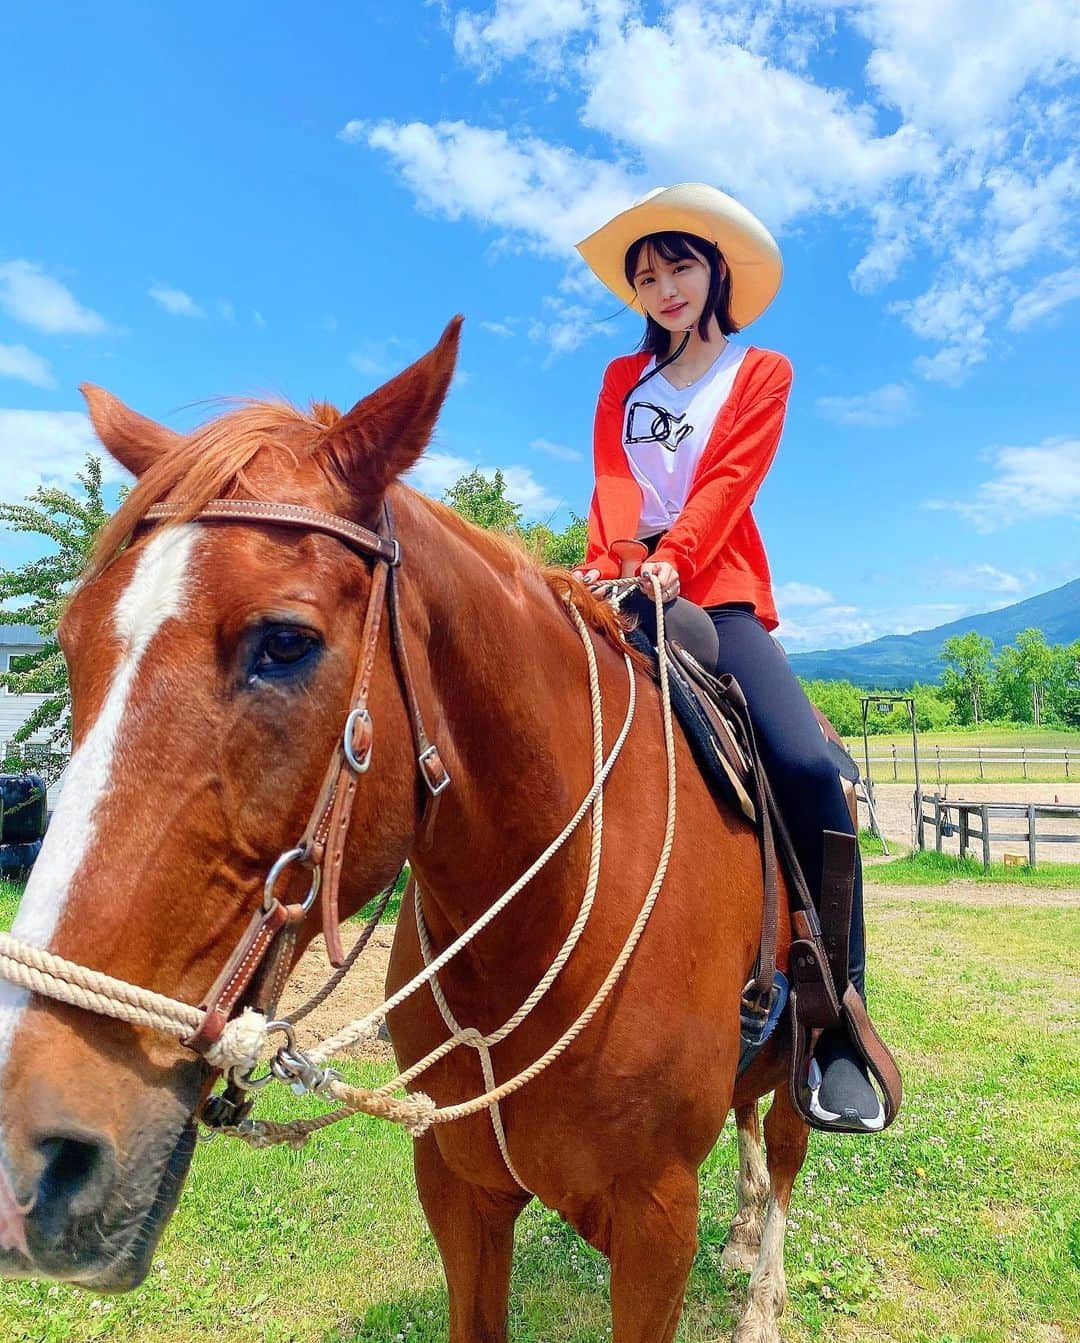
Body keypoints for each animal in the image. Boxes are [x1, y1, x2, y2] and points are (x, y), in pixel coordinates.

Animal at [0, 319, 811, 1337]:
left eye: (286, 642)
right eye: (71, 645)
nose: (27, 1156)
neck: (544, 919)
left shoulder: (657, 1221)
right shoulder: (458, 1188)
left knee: (785, 1142)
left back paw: (761, 1294)